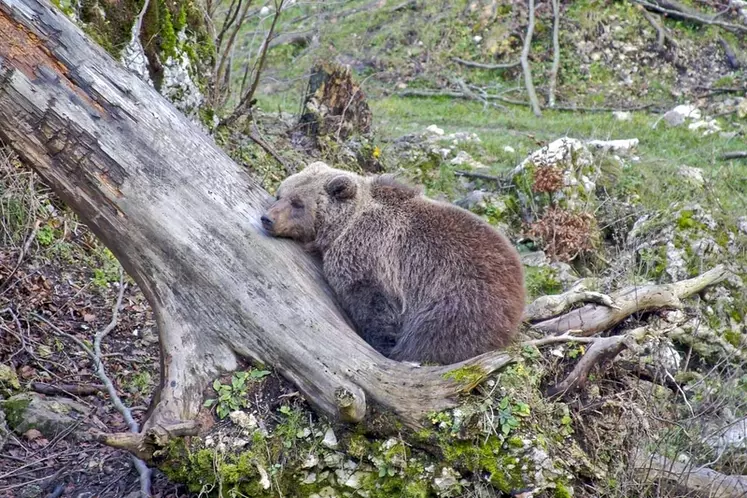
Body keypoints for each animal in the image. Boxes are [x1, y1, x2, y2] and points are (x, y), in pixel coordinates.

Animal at [262, 161, 524, 364]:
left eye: (298, 203)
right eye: (280, 194)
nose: (267, 219)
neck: (342, 227)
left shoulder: (371, 258)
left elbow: (374, 306)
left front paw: (382, 342)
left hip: (459, 300)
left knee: (432, 335)